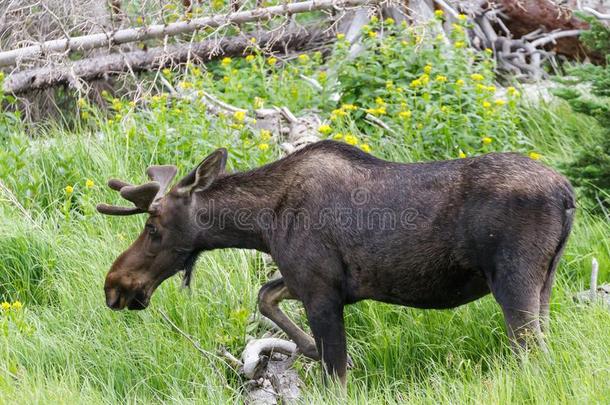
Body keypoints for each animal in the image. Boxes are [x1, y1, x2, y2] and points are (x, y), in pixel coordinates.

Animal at [97, 140, 572, 386]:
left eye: (153, 226)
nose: (115, 284)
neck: (263, 223)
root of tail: (567, 195)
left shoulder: (320, 290)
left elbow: (335, 373)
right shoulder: (310, 280)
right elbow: (265, 295)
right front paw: (303, 345)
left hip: (513, 280)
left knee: (534, 352)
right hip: (545, 282)